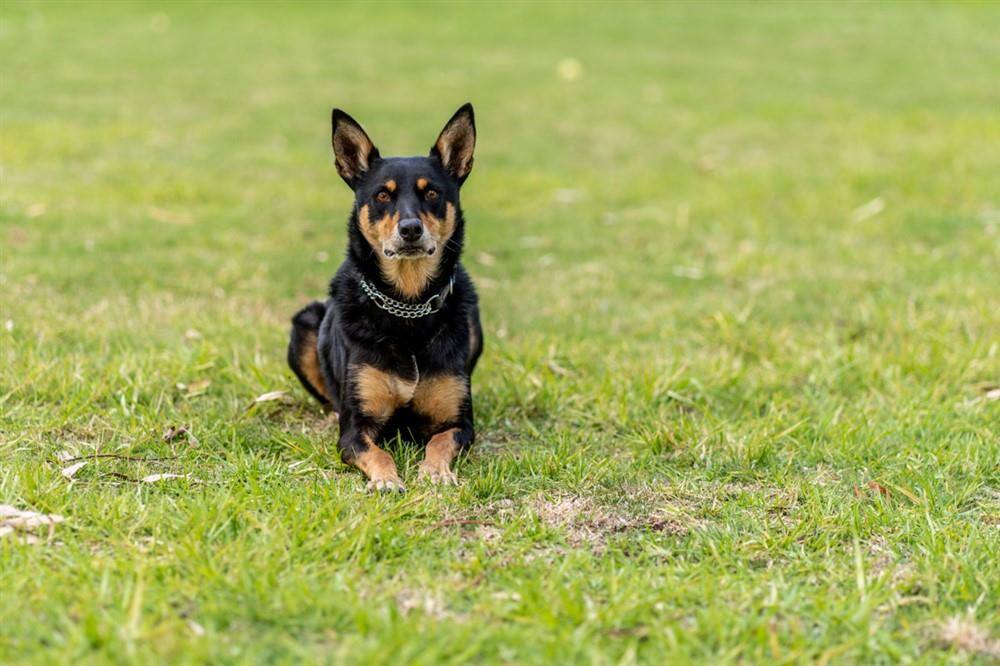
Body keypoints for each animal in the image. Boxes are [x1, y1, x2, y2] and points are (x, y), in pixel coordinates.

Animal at [286, 102, 484, 488]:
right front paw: (387, 480)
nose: (410, 229)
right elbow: (376, 452)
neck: (408, 306)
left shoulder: (459, 423)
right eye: (382, 195)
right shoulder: (355, 428)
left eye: (432, 193)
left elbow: (440, 441)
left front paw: (435, 472)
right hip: (304, 324)